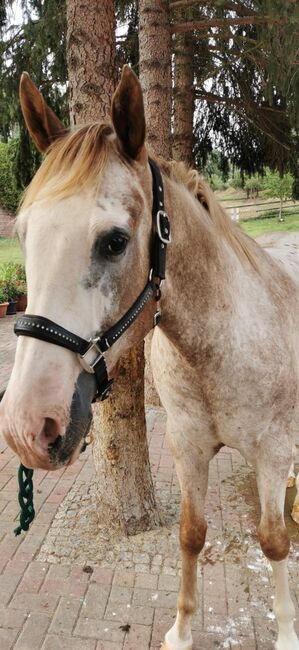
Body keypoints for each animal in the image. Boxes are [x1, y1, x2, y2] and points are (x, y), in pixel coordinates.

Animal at [0, 67, 299, 648]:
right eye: (23, 234)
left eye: (115, 241)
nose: (27, 427)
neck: (220, 350)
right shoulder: (187, 447)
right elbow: (191, 534)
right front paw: (181, 631)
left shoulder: (273, 453)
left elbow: (274, 541)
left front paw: (287, 632)